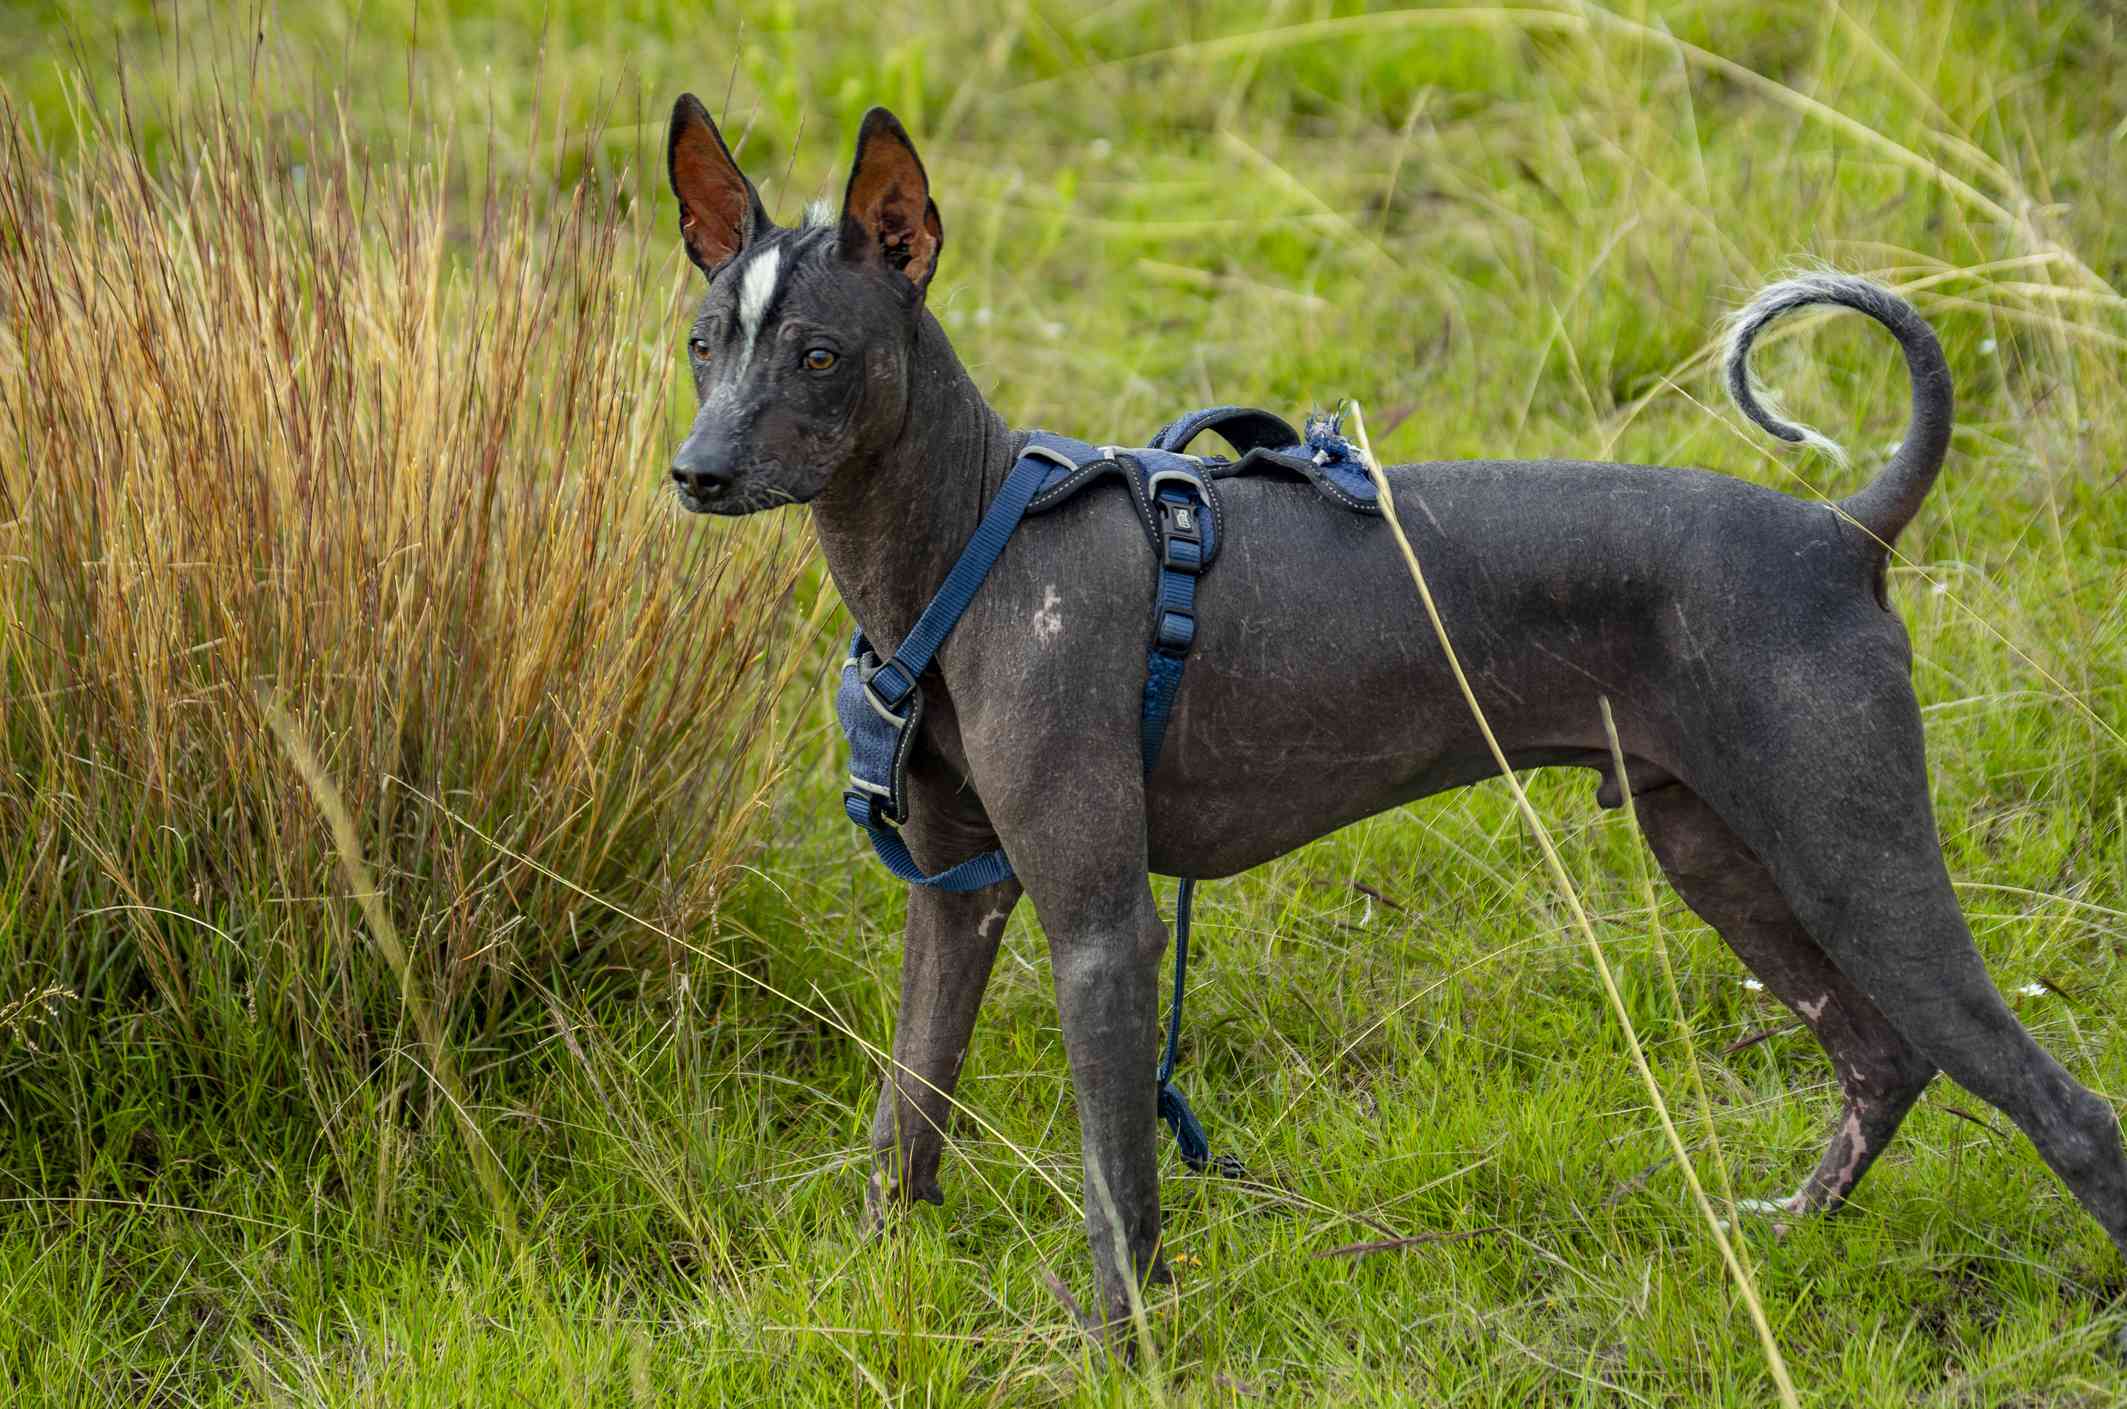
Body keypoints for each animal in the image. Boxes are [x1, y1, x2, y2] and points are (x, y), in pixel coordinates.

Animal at [655, 96, 2118, 1336]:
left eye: (821, 354)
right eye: (702, 345)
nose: (696, 472)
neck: (971, 541)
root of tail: (1840, 529)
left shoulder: (1100, 928)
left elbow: (1117, 1186)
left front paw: (1118, 1353)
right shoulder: (956, 902)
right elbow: (905, 1113)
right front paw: (875, 1279)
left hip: (1853, 859)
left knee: (2068, 1112)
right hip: (1717, 853)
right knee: (1880, 1059)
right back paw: (1784, 1236)